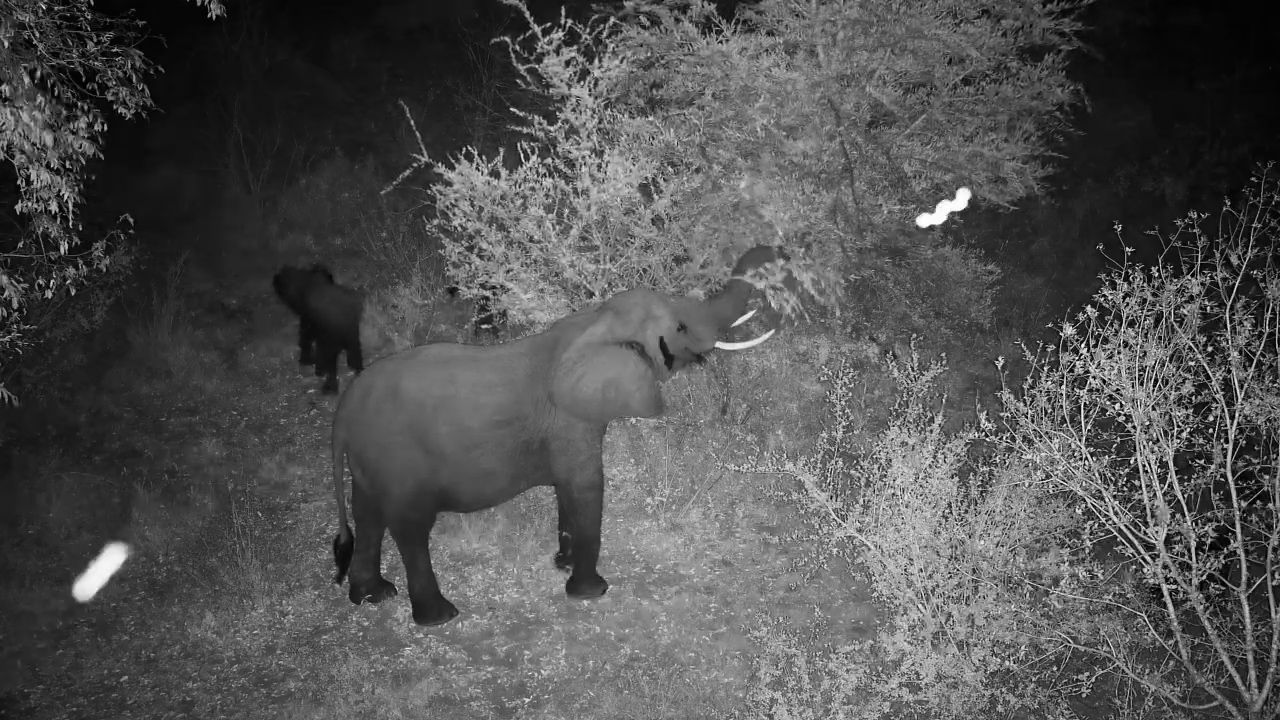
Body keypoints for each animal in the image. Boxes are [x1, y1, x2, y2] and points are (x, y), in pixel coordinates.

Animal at [330, 245, 791, 626]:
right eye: (679, 327)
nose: (778, 253)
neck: (595, 323)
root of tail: (343, 412)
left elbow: (567, 490)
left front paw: (563, 565)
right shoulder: (570, 420)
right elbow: (585, 486)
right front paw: (592, 591)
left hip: (371, 460)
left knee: (367, 513)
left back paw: (373, 596)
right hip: (398, 459)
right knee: (409, 528)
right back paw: (440, 617)